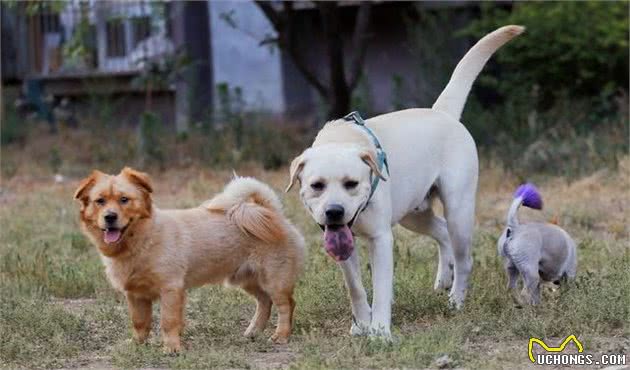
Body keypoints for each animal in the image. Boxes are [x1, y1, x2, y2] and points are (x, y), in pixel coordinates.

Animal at [74, 168, 306, 352]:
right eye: (100, 201)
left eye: (124, 200)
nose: (110, 217)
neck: (143, 240)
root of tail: (271, 211)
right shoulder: (136, 295)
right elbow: (140, 323)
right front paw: (137, 345)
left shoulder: (171, 289)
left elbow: (168, 322)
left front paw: (172, 348)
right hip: (247, 279)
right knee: (264, 302)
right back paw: (253, 332)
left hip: (274, 280)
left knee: (286, 305)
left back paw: (281, 336)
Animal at [288, 25, 524, 338]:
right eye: (317, 185)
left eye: (351, 183)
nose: (334, 212)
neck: (342, 140)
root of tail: (442, 113)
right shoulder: (342, 244)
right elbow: (355, 288)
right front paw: (361, 325)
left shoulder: (380, 239)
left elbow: (380, 289)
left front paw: (379, 332)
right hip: (413, 214)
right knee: (442, 232)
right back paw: (443, 279)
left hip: (458, 209)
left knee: (464, 257)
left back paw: (456, 299)